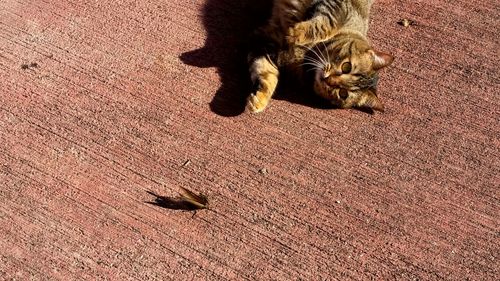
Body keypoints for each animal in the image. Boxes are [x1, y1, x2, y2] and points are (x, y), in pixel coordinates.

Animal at [248, 0, 392, 113]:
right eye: (346, 67)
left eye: (343, 93)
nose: (328, 80)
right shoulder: (339, 7)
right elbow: (324, 25)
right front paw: (295, 33)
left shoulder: (267, 45)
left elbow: (267, 74)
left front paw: (260, 100)